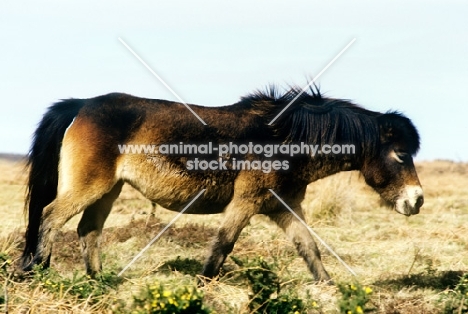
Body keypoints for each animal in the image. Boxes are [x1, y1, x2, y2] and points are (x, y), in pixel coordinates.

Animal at [21, 87, 424, 280]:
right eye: (401, 155)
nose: (417, 200)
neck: (286, 138)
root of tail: (81, 105)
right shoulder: (244, 204)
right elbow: (222, 247)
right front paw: (202, 289)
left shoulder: (285, 208)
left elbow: (310, 250)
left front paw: (331, 289)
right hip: (90, 187)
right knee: (50, 217)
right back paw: (36, 273)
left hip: (109, 190)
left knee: (88, 230)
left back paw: (99, 282)